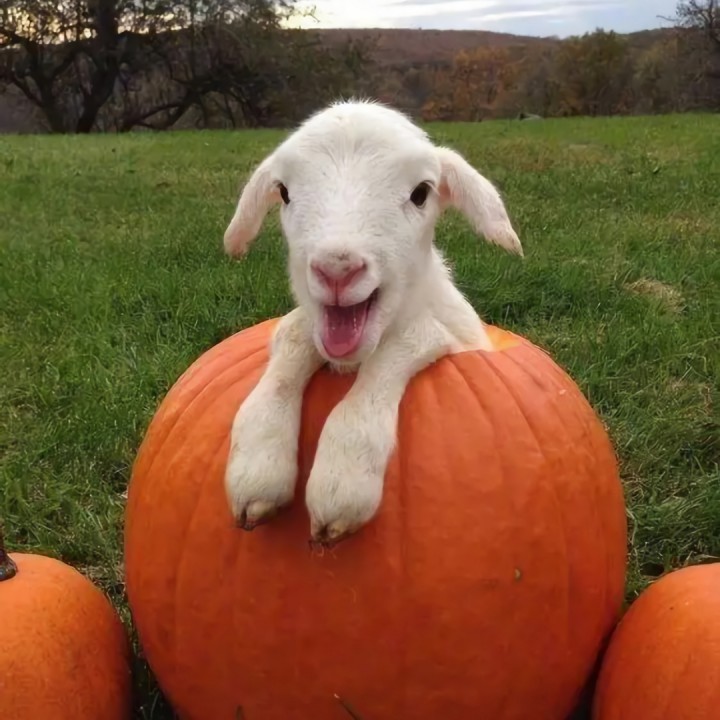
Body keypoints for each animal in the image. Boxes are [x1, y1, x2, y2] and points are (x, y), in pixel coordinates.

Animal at [222, 98, 523, 548]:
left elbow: (411, 339)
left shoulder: (446, 335)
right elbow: (292, 337)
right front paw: (257, 467)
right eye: (285, 192)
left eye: (421, 193)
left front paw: (342, 480)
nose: (337, 269)